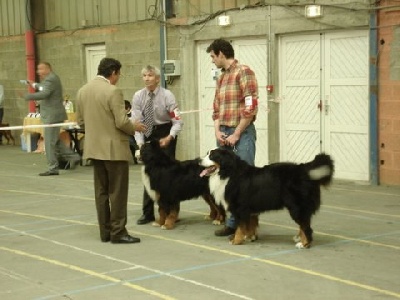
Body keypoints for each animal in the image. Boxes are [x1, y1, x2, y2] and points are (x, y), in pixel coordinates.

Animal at [200, 148, 334, 248]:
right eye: (207, 153)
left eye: (212, 156)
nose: (199, 160)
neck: (228, 173)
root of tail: (304, 170)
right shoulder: (250, 210)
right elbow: (251, 225)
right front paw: (250, 237)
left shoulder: (240, 208)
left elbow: (240, 226)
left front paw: (236, 240)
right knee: (304, 223)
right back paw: (299, 238)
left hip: (296, 207)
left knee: (306, 226)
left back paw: (304, 243)